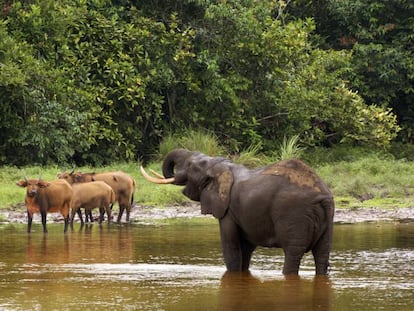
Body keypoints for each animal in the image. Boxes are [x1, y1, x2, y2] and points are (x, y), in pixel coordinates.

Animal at [141, 149, 334, 276]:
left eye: (189, 166)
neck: (221, 165)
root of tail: (322, 195)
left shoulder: (228, 210)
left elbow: (231, 246)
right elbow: (245, 249)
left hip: (294, 215)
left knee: (293, 254)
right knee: (322, 255)